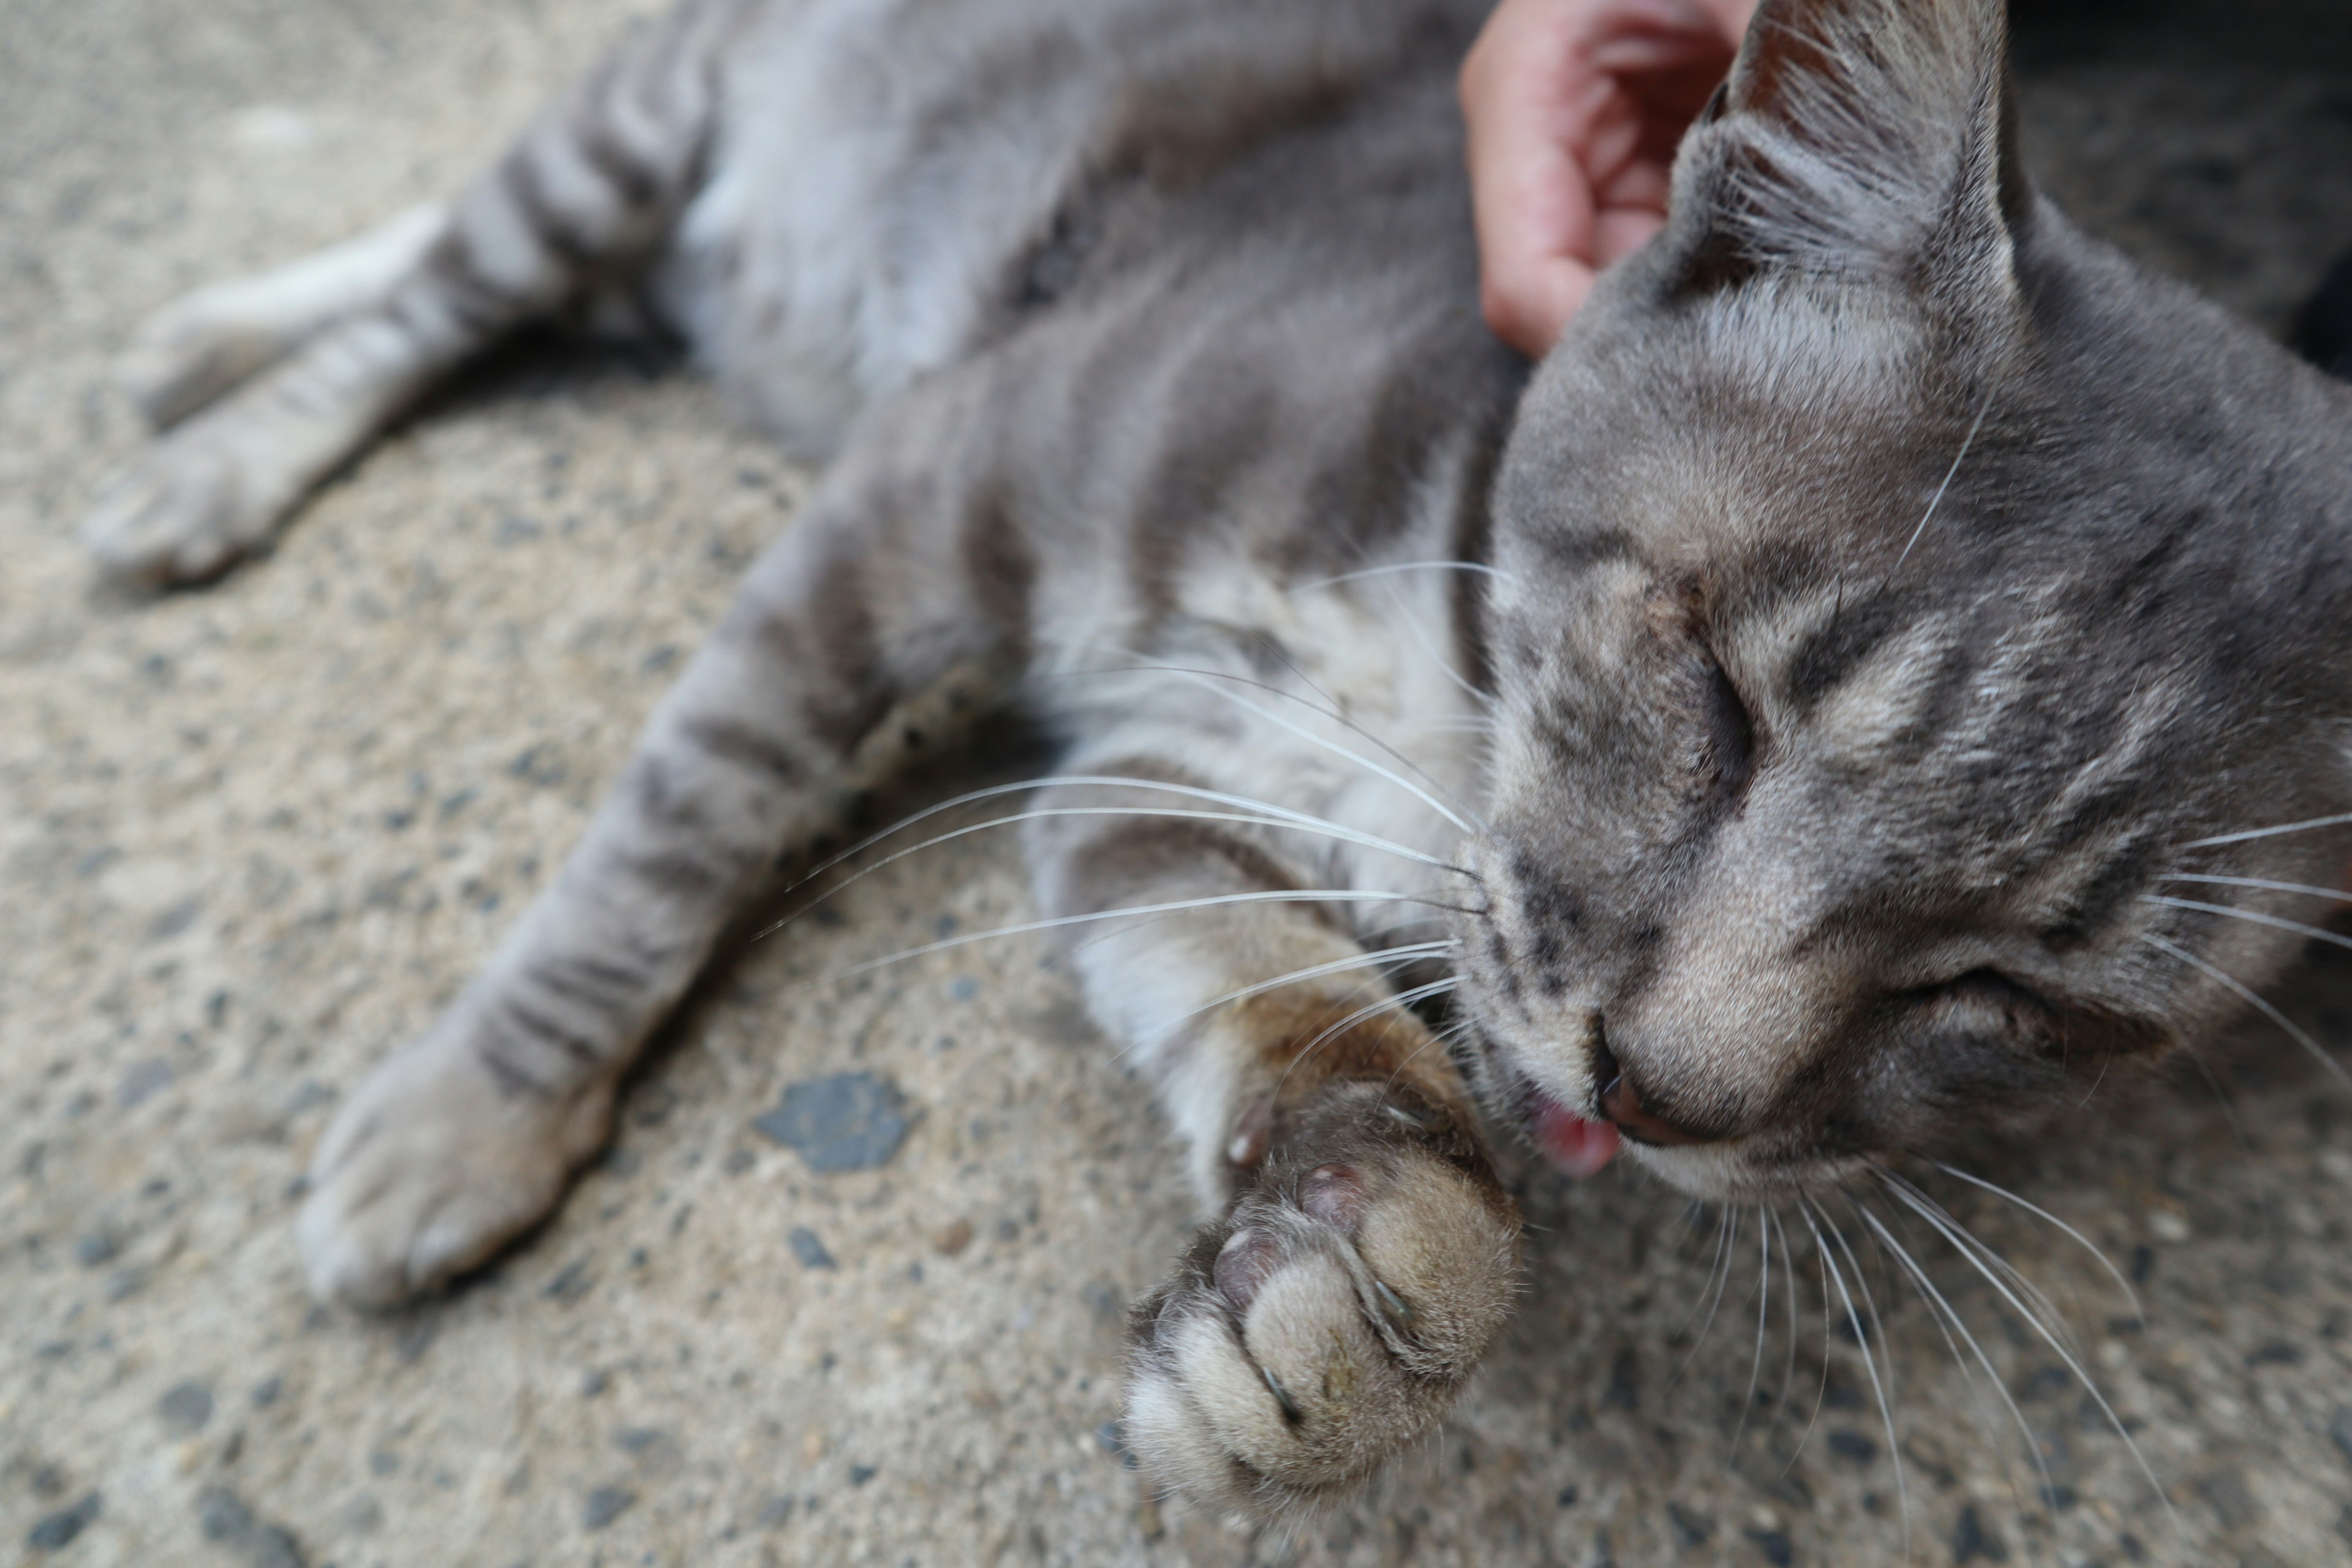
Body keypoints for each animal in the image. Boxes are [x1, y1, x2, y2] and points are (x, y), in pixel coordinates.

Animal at [83, 0, 2352, 1523]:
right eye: (1722, 692)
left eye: (2021, 999)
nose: (1663, 1096)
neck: (1438, 682)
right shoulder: (928, 489)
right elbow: (676, 823)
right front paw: (474, 1112)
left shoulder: (1138, 796)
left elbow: (1286, 1012)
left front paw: (1354, 1294)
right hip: (666, 126)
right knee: (450, 273)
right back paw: (211, 403)